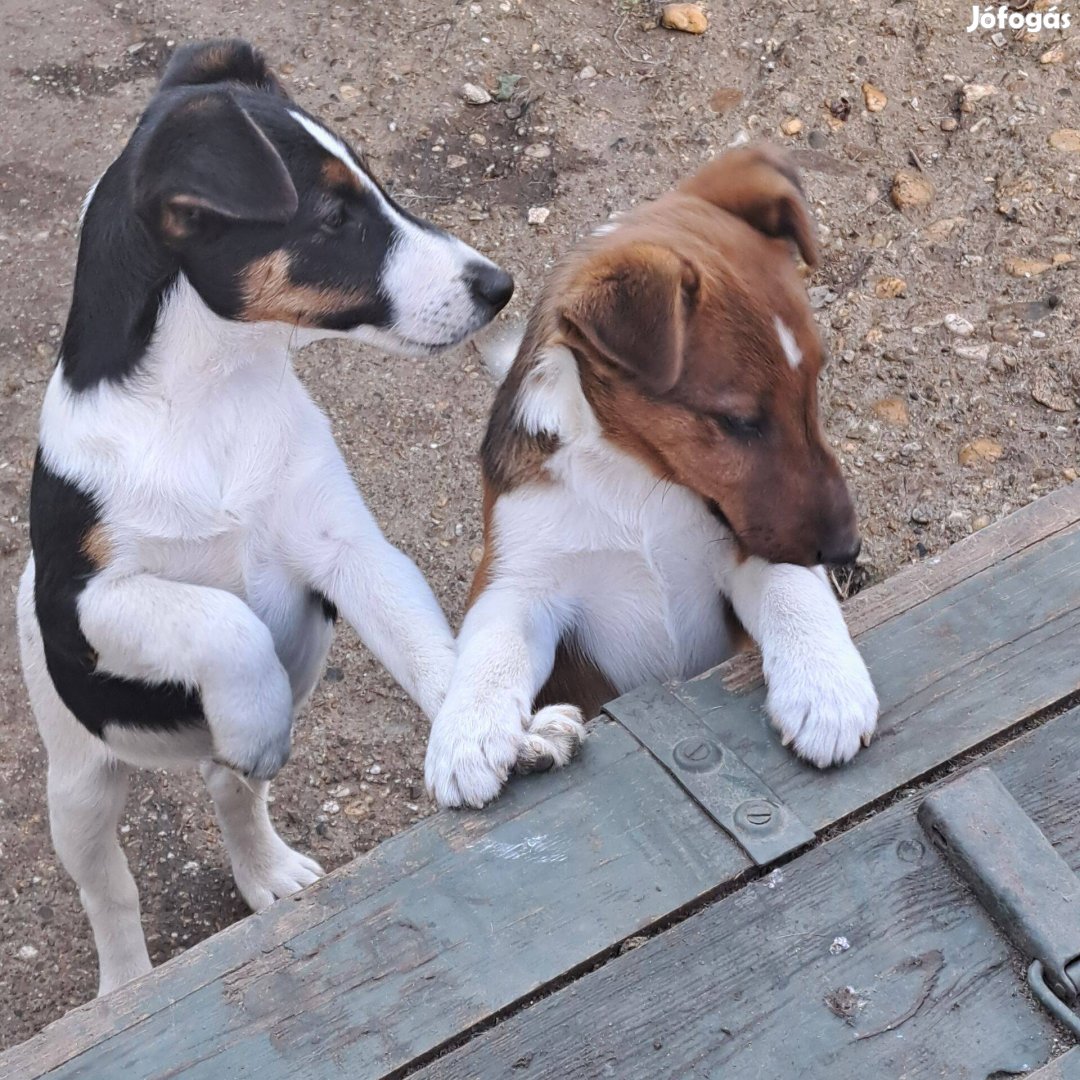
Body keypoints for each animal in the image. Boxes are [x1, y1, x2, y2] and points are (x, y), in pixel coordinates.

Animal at [16, 38, 514, 997]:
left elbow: (426, 646)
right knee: (111, 892)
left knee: (231, 791)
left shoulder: (352, 550)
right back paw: (127, 990)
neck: (212, 397)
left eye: (376, 186)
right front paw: (253, 712)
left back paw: (267, 867)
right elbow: (223, 618)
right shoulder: (83, 603)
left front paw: (483, 735)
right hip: (78, 780)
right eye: (332, 216)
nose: (499, 286)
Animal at [421, 150, 876, 812]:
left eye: (814, 382)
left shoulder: (745, 545)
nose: (847, 549)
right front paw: (467, 737)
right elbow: (490, 650)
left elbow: (794, 590)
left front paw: (828, 690)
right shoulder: (519, 579)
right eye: (738, 421)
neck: (636, 480)